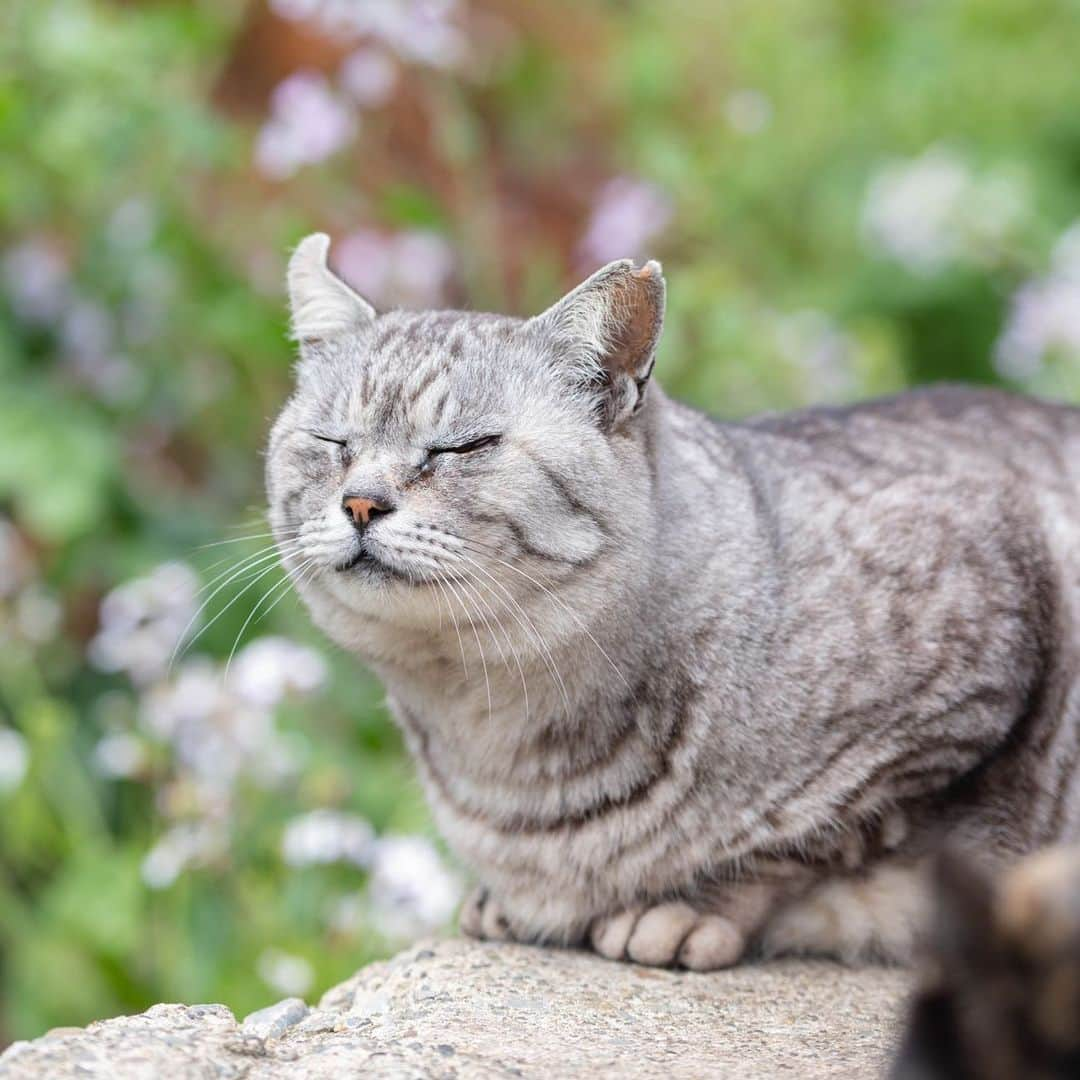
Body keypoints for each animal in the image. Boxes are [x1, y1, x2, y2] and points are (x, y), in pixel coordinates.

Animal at [267, 230, 1080, 972]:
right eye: (332, 442)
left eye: (464, 447)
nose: (361, 501)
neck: (489, 735)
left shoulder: (976, 659)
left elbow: (813, 839)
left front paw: (684, 905)